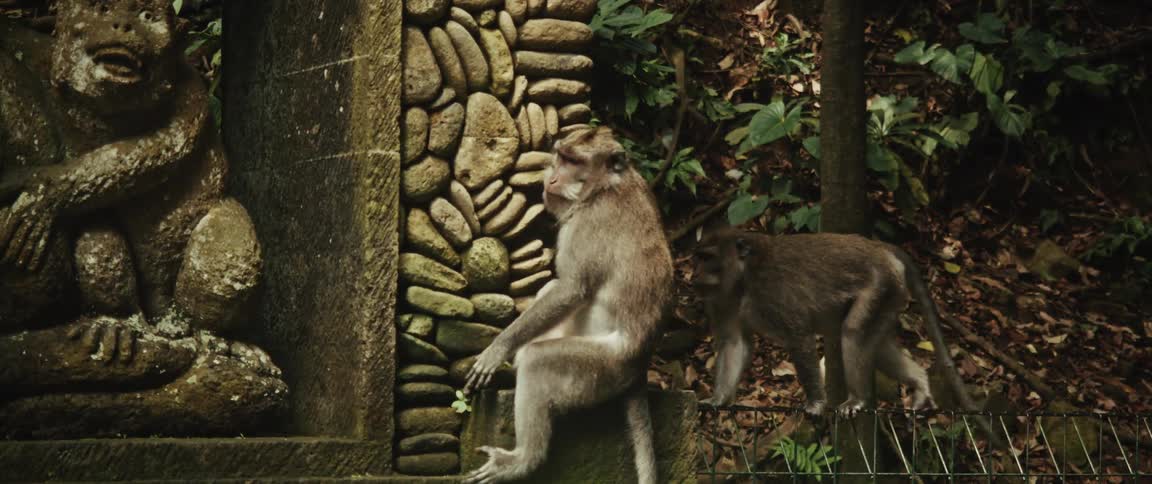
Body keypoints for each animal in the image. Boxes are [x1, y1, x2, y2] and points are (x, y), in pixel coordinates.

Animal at [463, 127, 673, 484]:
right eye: (560, 156)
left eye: (574, 162)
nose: (552, 178)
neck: (605, 187)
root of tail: (640, 366)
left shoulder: (591, 223)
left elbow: (572, 289)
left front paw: (497, 348)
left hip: (602, 371)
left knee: (538, 361)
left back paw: (522, 461)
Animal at [693, 228, 981, 418]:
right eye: (698, 257)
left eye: (707, 258)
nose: (693, 275)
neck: (743, 279)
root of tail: (880, 248)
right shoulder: (721, 302)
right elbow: (734, 343)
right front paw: (718, 399)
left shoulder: (772, 292)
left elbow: (799, 337)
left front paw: (816, 403)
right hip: (891, 297)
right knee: (879, 349)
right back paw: (920, 382)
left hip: (880, 286)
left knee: (852, 333)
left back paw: (858, 399)